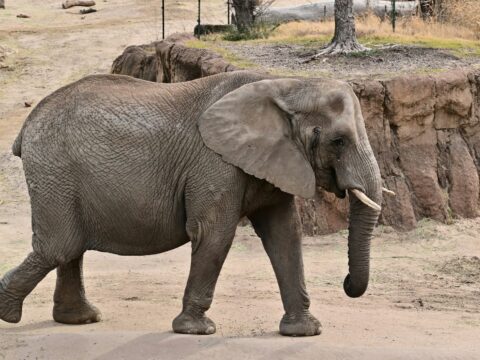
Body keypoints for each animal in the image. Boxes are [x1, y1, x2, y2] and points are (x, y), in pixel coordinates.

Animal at [0, 71, 382, 338]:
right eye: (338, 141)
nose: (347, 283)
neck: (287, 84)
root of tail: (25, 128)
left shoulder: (273, 160)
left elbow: (284, 235)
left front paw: (305, 332)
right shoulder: (215, 164)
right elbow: (214, 233)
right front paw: (197, 331)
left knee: (70, 247)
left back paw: (80, 320)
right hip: (53, 169)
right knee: (60, 247)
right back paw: (9, 313)